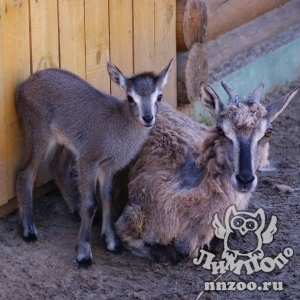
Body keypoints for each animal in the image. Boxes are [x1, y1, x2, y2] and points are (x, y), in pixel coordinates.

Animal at [15, 60, 173, 268]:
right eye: (130, 97)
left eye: (159, 96)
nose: (148, 118)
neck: (118, 129)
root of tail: (23, 86)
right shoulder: (89, 161)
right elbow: (90, 203)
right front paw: (83, 254)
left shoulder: (109, 167)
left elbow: (107, 197)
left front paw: (112, 242)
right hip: (40, 133)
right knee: (25, 172)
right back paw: (29, 230)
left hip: (67, 143)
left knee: (57, 167)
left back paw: (75, 210)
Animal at [114, 80, 298, 262]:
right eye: (220, 130)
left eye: (268, 132)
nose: (245, 179)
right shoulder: (130, 220)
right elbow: (167, 255)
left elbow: (217, 244)